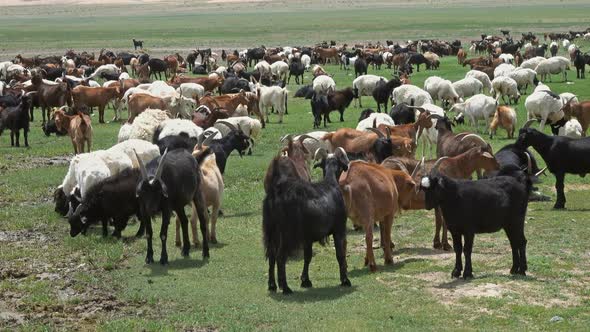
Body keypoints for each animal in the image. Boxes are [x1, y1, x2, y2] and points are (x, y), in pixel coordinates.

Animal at [266, 147, 354, 294]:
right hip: (286, 234)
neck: (330, 183)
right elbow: (340, 254)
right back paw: (285, 287)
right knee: (280, 257)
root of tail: (277, 192)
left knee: (271, 255)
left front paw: (305, 281)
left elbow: (308, 257)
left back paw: (272, 285)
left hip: (271, 232)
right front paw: (345, 280)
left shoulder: (307, 237)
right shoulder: (339, 229)